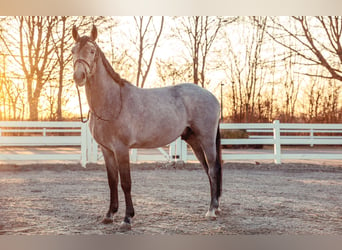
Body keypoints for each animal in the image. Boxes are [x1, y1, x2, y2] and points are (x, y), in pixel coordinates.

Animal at [71, 25, 222, 230]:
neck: (112, 101)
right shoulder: (107, 150)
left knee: (213, 169)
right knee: (208, 170)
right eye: (73, 51)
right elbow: (112, 182)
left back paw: (211, 211)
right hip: (194, 141)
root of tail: (211, 96)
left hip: (206, 140)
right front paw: (109, 215)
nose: (79, 76)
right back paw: (216, 207)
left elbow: (126, 183)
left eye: (92, 51)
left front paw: (127, 218)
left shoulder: (121, 149)